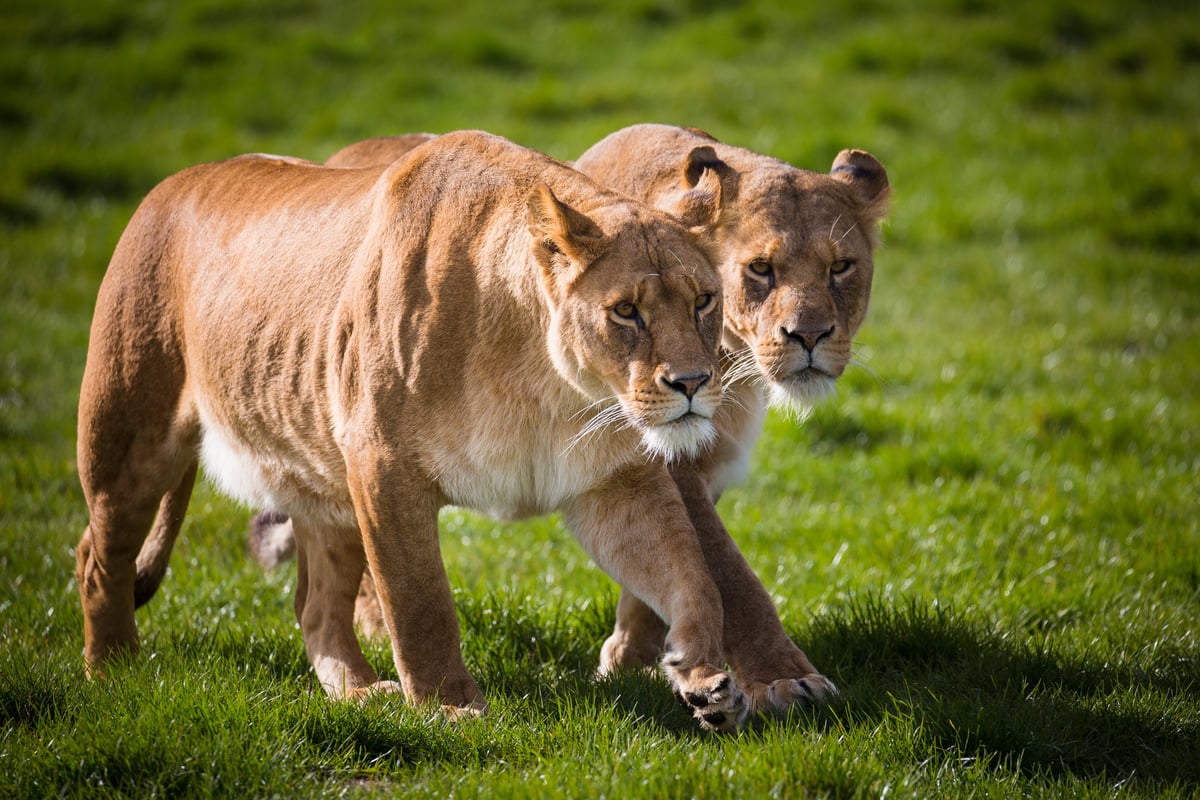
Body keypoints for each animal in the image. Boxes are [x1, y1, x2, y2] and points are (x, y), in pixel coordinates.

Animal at [75, 130, 755, 731]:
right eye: (625, 311)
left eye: (703, 300)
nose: (693, 382)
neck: (546, 382)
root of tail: (169, 185)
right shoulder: (383, 464)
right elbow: (419, 602)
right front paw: (448, 707)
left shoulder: (617, 480)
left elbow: (691, 574)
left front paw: (703, 676)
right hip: (129, 440)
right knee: (98, 558)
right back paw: (116, 674)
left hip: (324, 480)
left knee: (315, 607)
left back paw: (357, 693)